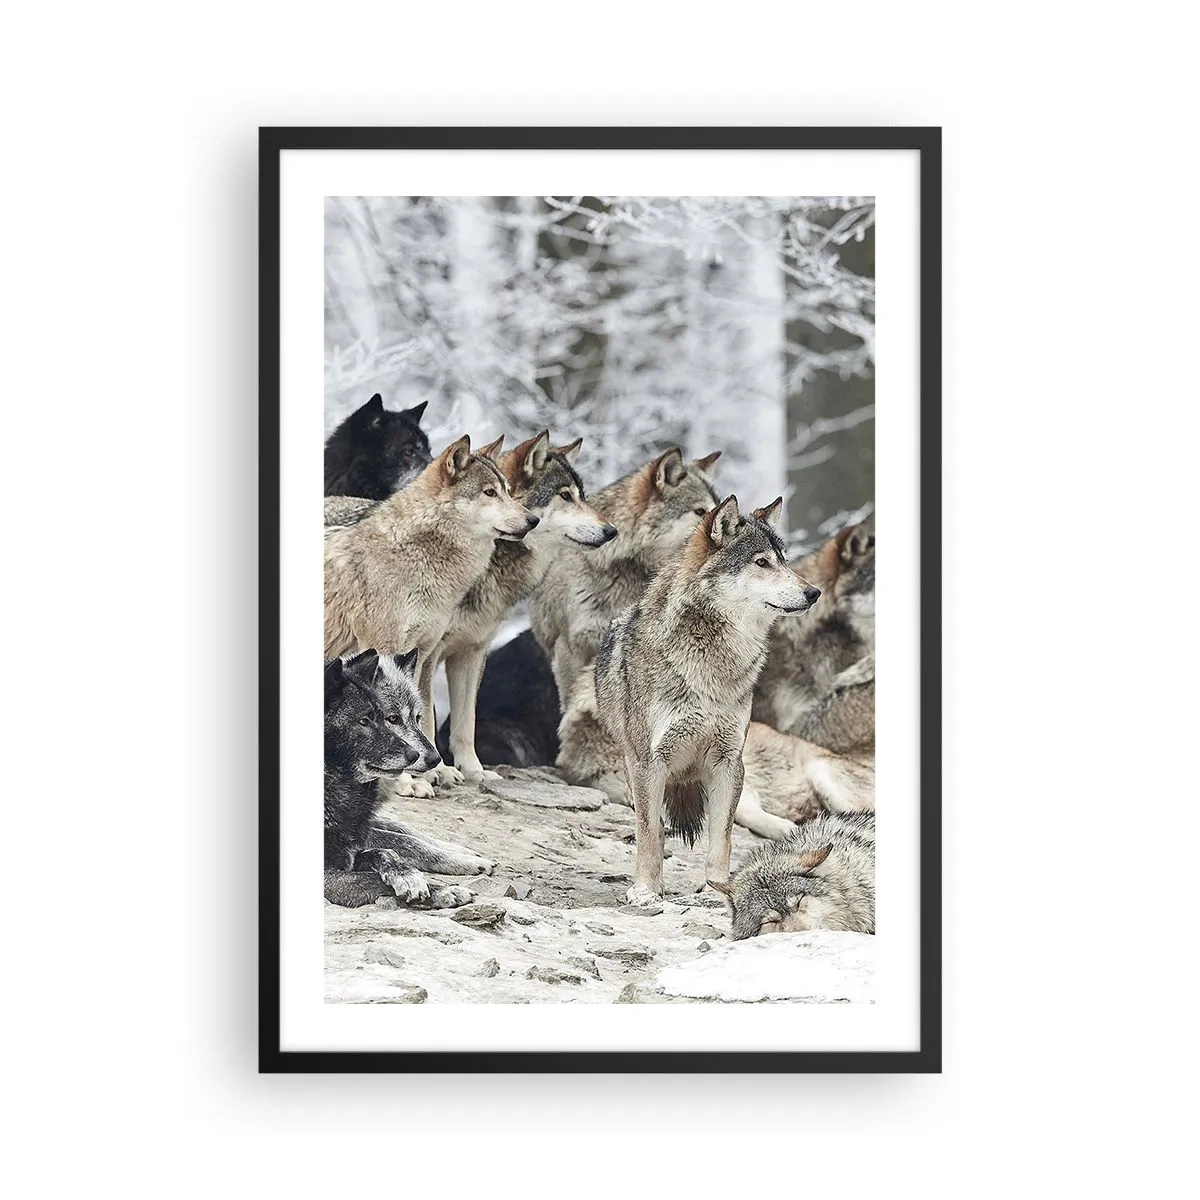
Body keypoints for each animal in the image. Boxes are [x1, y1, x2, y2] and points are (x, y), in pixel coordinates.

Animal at [324, 649, 494, 909]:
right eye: (392, 718)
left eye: (417, 717)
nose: (434, 759)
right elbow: (402, 847)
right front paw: (445, 884)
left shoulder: (361, 829)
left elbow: (405, 834)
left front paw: (462, 853)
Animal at [325, 435, 538, 794]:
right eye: (489, 493)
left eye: (508, 491)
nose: (533, 520)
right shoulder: (385, 651)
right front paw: (406, 781)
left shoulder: (423, 653)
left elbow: (422, 715)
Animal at [429, 431, 615, 783]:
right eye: (565, 496)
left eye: (582, 496)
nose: (612, 531)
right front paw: (437, 771)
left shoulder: (472, 651)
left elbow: (465, 723)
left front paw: (474, 771)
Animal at [593, 495, 821, 904]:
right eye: (761, 562)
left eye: (784, 560)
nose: (813, 592)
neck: (710, 663)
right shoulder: (649, 763)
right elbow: (649, 834)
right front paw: (646, 890)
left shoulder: (729, 762)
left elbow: (722, 839)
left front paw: (717, 890)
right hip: (635, 770)